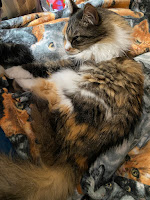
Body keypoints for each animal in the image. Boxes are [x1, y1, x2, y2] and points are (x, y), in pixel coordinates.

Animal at [0, 0, 144, 199]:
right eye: (65, 37)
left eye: (76, 38)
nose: (67, 48)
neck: (104, 42)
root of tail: (71, 157)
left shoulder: (71, 64)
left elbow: (40, 65)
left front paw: (13, 69)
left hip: (69, 86)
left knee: (42, 88)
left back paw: (16, 81)